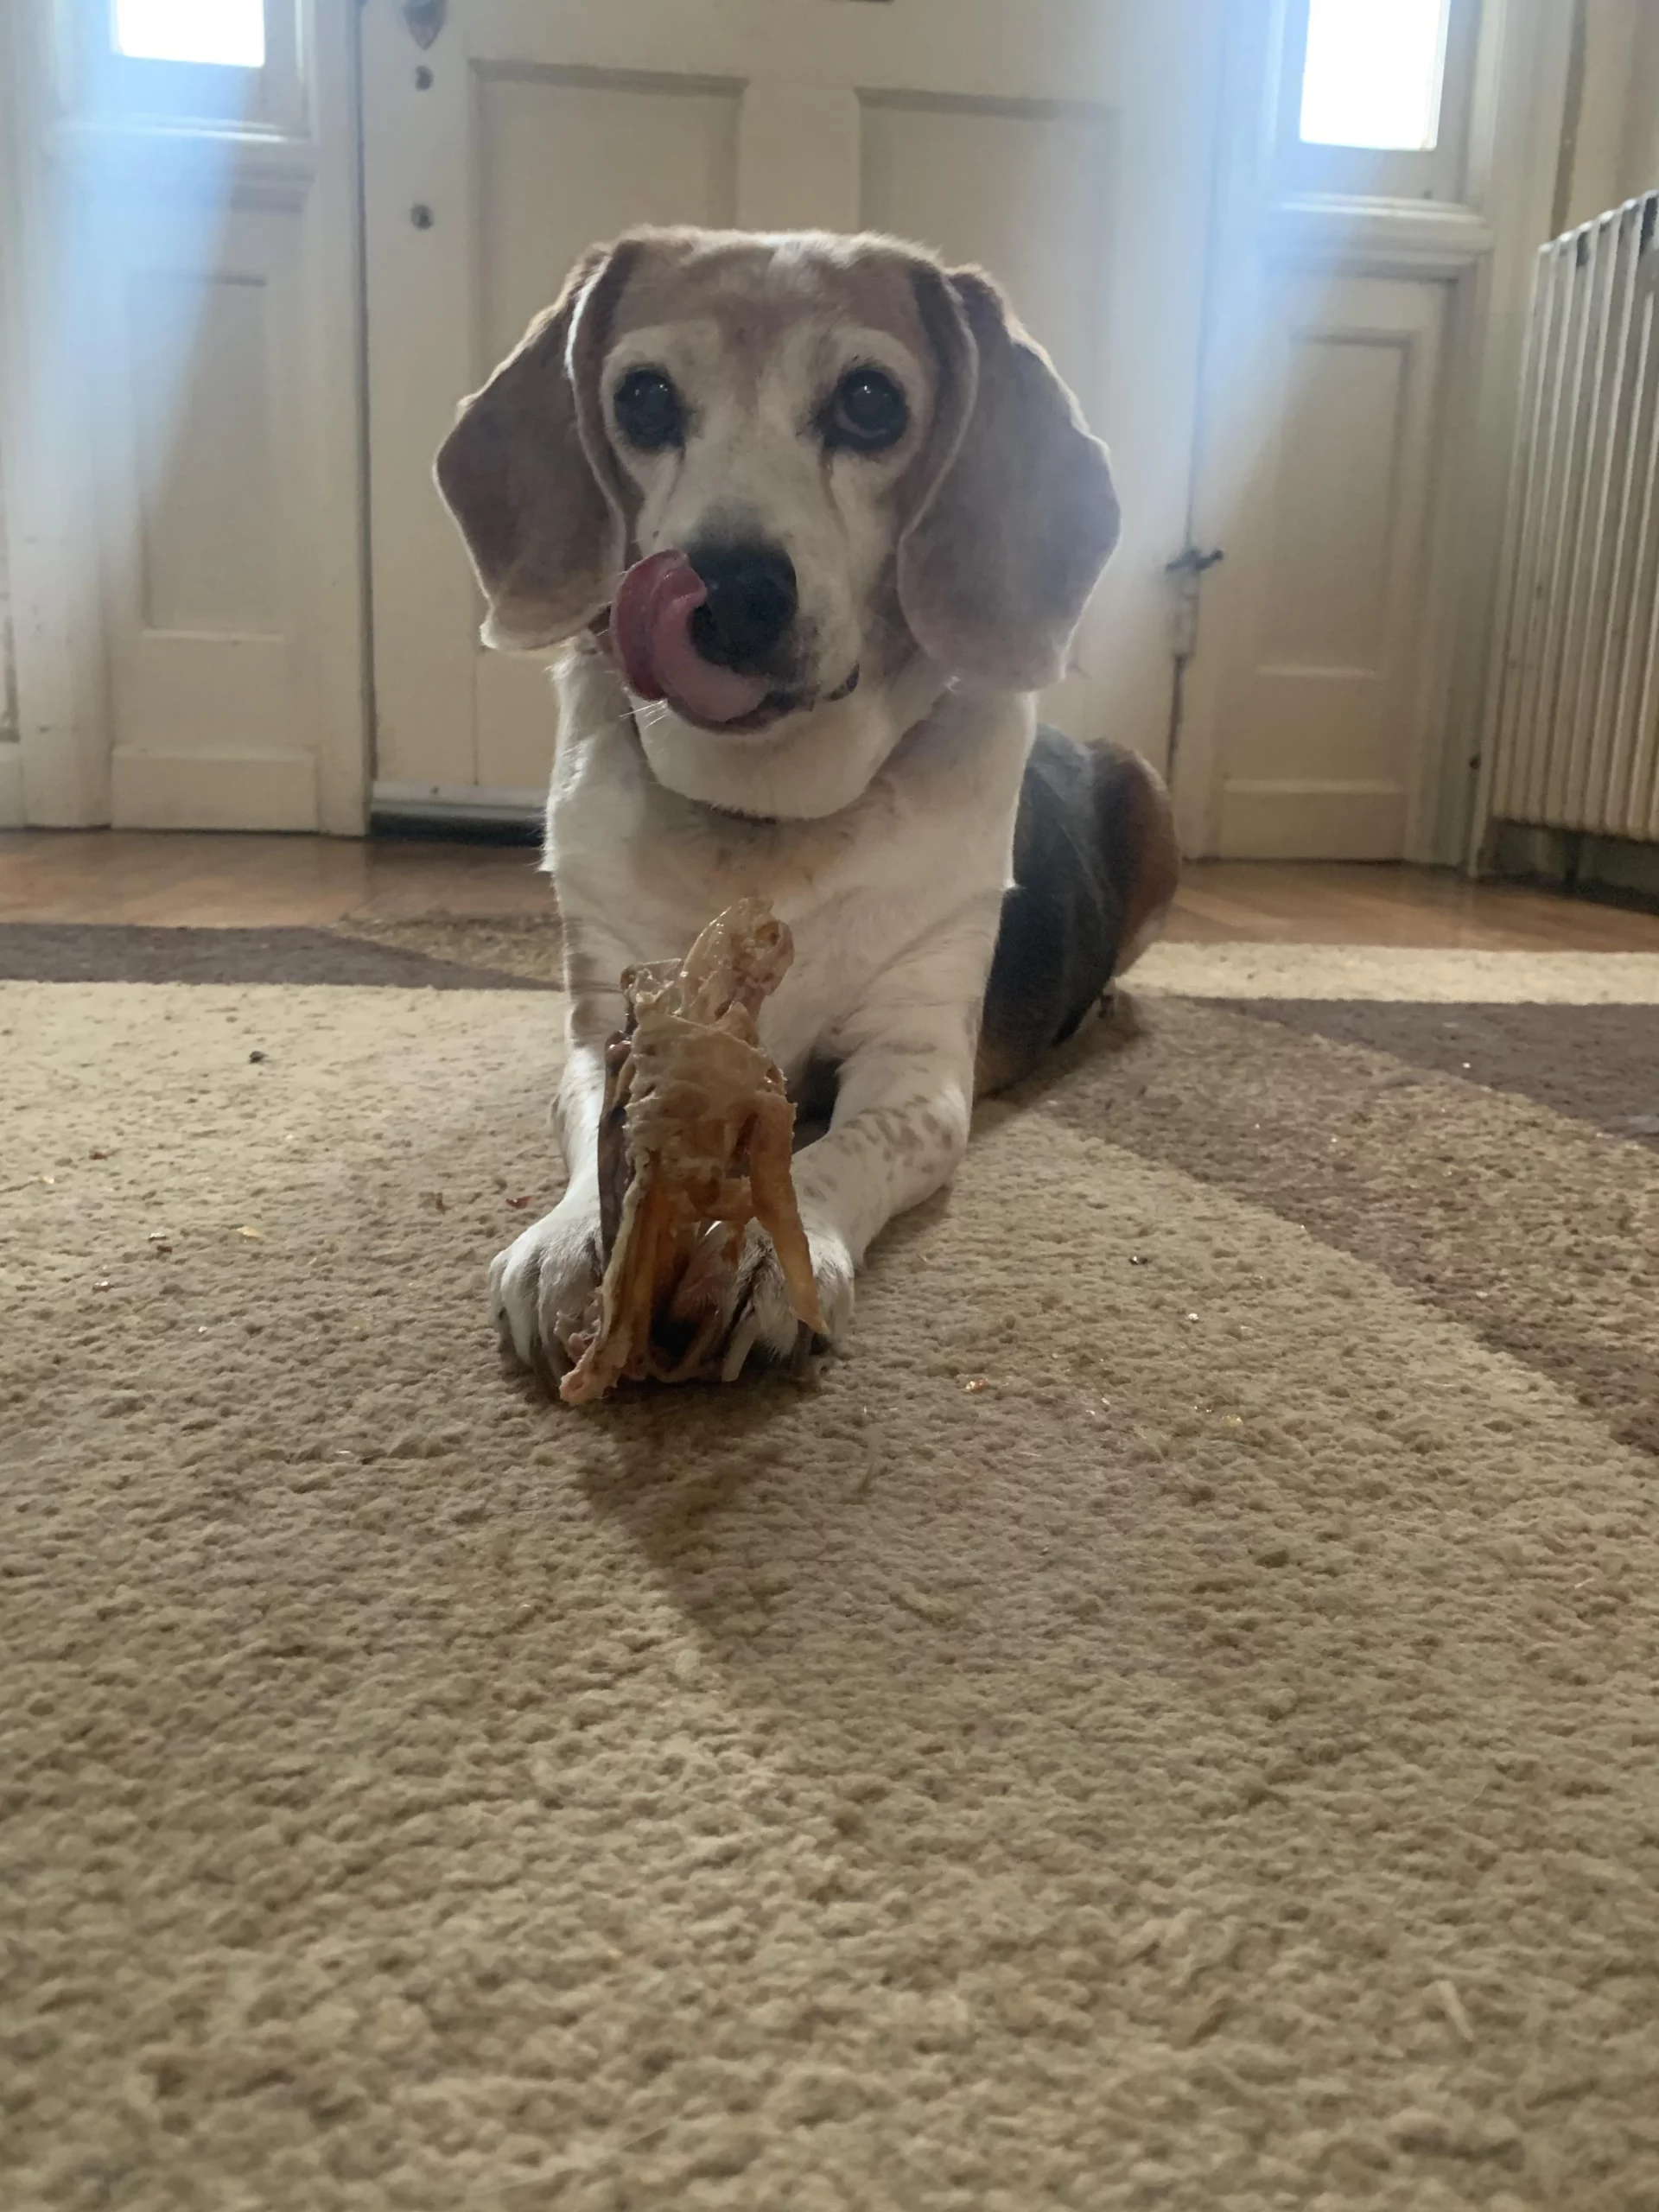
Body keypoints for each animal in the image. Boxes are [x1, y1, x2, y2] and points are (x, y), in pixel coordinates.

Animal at [435, 219, 1176, 1362]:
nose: (732, 589)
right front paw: (569, 1243)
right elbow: (599, 1122)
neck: (771, 824)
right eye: (643, 398)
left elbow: (843, 1148)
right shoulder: (609, 1018)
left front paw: (764, 1260)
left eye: (870, 401)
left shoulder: (915, 1062)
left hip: (1147, 786)